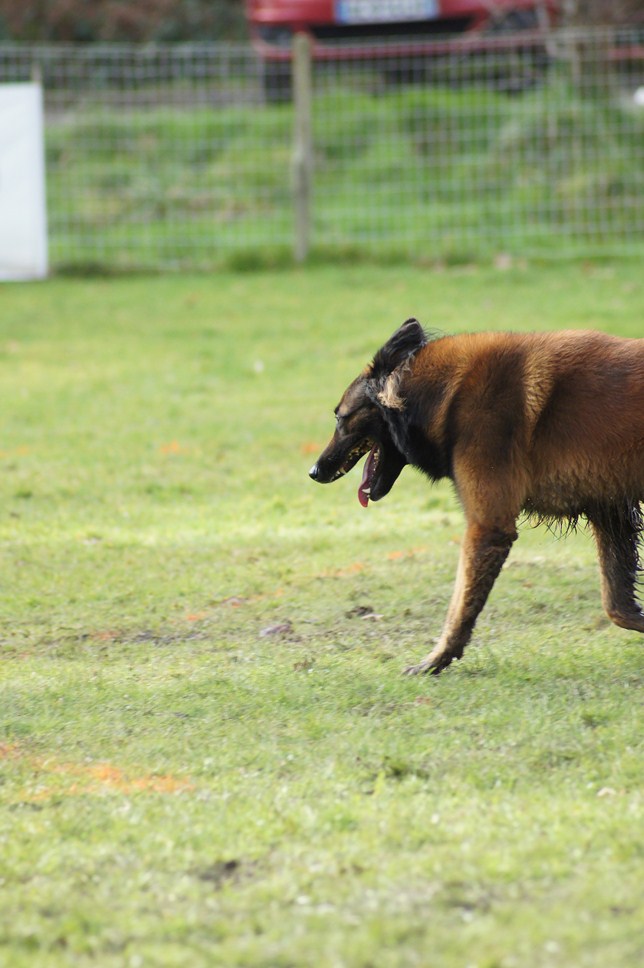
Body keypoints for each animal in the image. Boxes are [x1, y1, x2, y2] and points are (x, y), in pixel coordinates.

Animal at [310, 322, 640, 676]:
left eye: (340, 418)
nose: (313, 471)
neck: (442, 395)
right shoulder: (610, 509)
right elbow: (618, 605)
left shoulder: (488, 527)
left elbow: (460, 608)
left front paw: (435, 661)